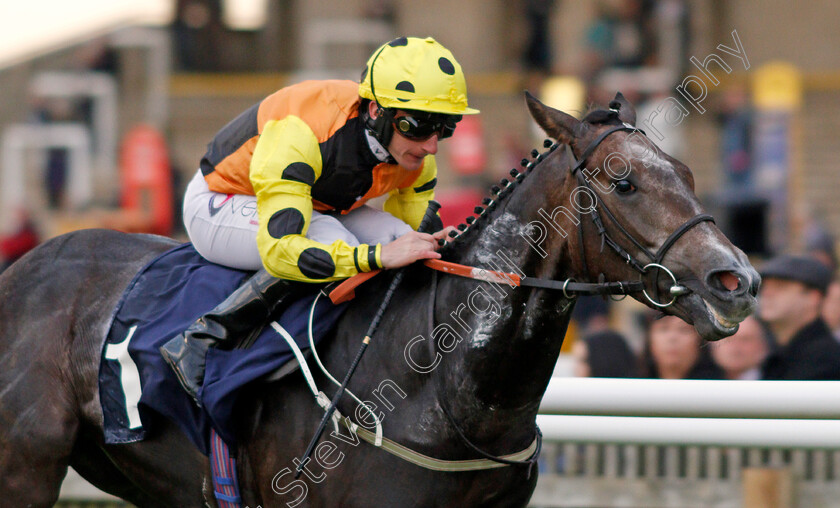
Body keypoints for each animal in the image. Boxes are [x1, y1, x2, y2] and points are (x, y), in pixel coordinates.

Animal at [0, 93, 760, 506]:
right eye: (625, 182)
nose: (738, 282)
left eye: (688, 173)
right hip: (25, 466)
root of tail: (21, 269)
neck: (443, 388)